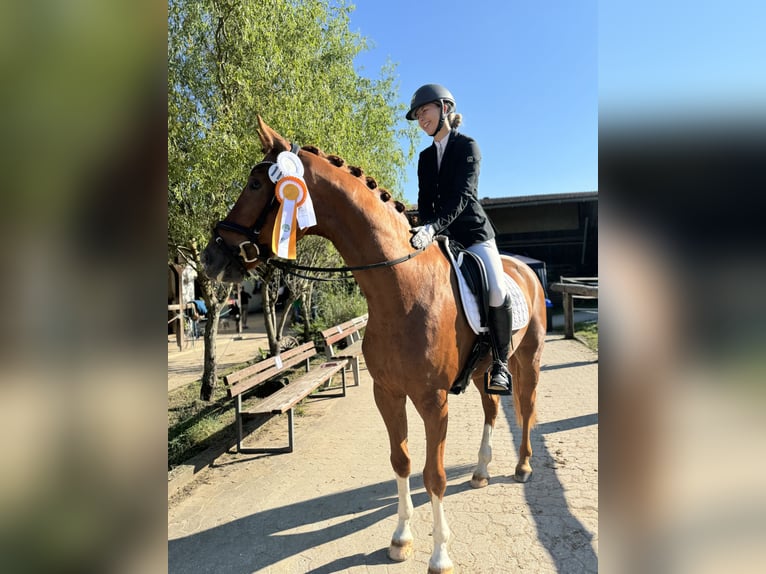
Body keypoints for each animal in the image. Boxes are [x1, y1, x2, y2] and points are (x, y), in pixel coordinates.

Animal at [201, 118, 548, 574]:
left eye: (257, 183)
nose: (211, 258)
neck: (401, 289)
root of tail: (524, 267)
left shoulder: (433, 400)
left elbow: (434, 474)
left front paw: (440, 554)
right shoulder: (387, 393)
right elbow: (401, 462)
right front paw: (401, 539)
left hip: (528, 359)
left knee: (525, 406)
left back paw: (522, 465)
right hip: (480, 370)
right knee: (492, 410)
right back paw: (480, 471)